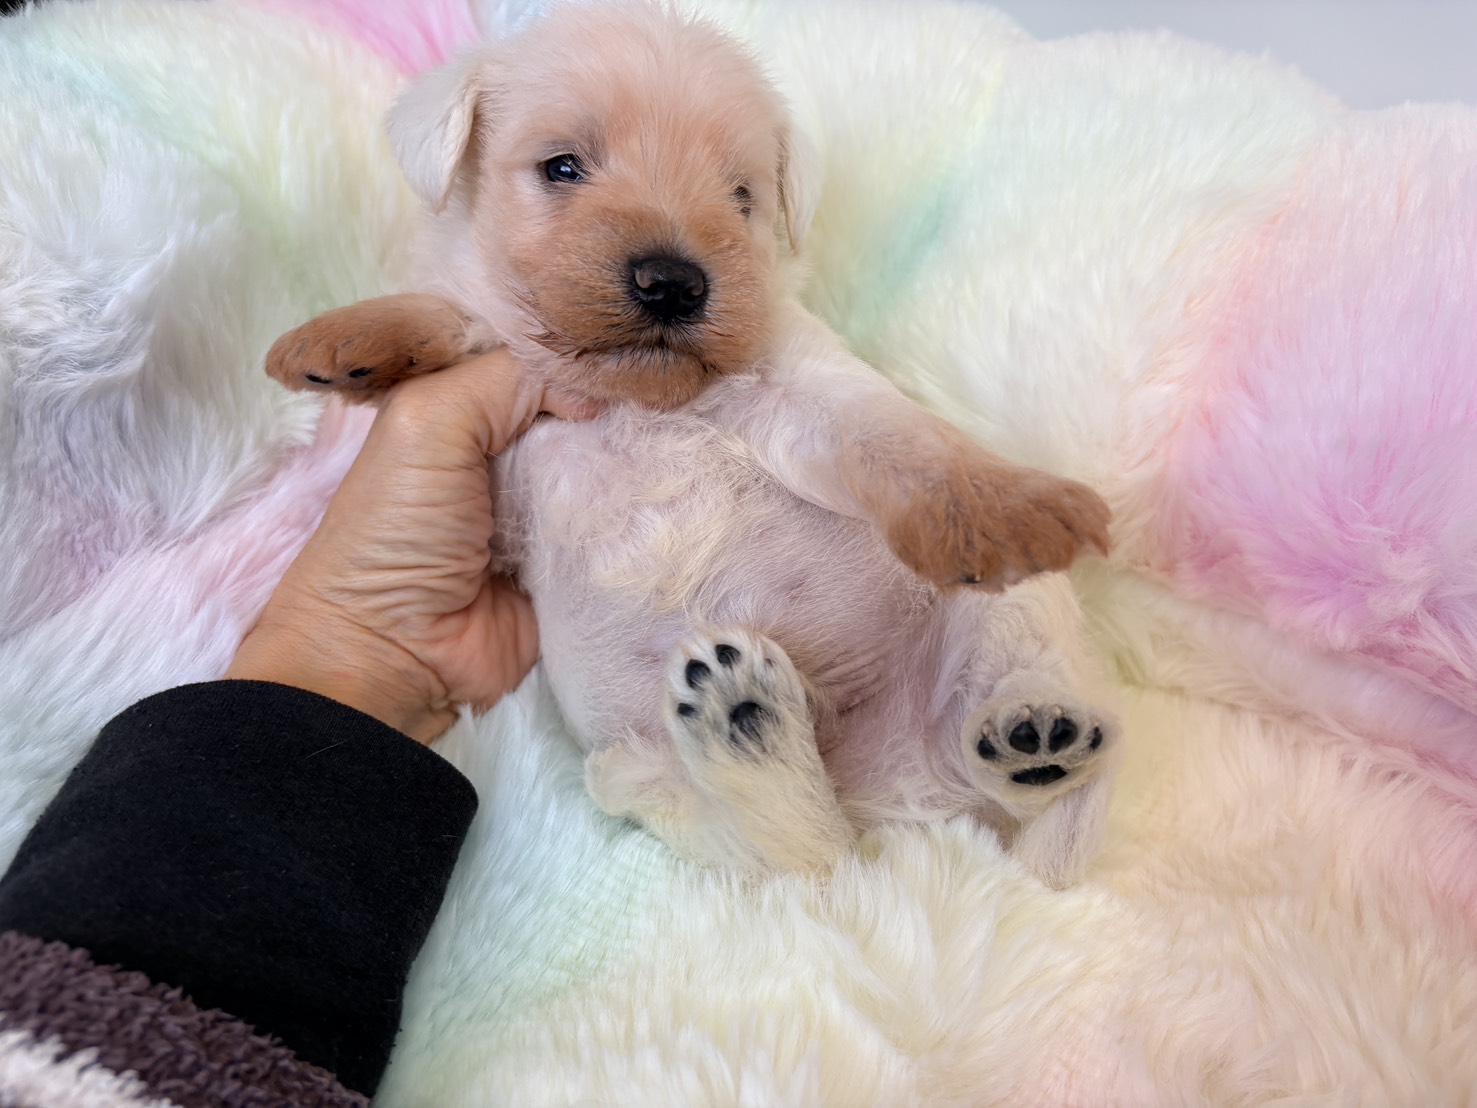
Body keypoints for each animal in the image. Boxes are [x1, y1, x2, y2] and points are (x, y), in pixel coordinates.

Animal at [266, 0, 1120, 888]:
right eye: (562, 167)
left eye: (739, 196)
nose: (673, 283)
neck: (638, 402)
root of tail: (889, 807)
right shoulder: (501, 474)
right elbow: (463, 322)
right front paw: (357, 339)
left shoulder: (803, 393)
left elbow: (897, 439)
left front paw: (993, 504)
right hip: (636, 771)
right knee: (800, 845)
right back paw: (756, 726)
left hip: (1008, 611)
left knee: (912, 815)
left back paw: (1028, 731)